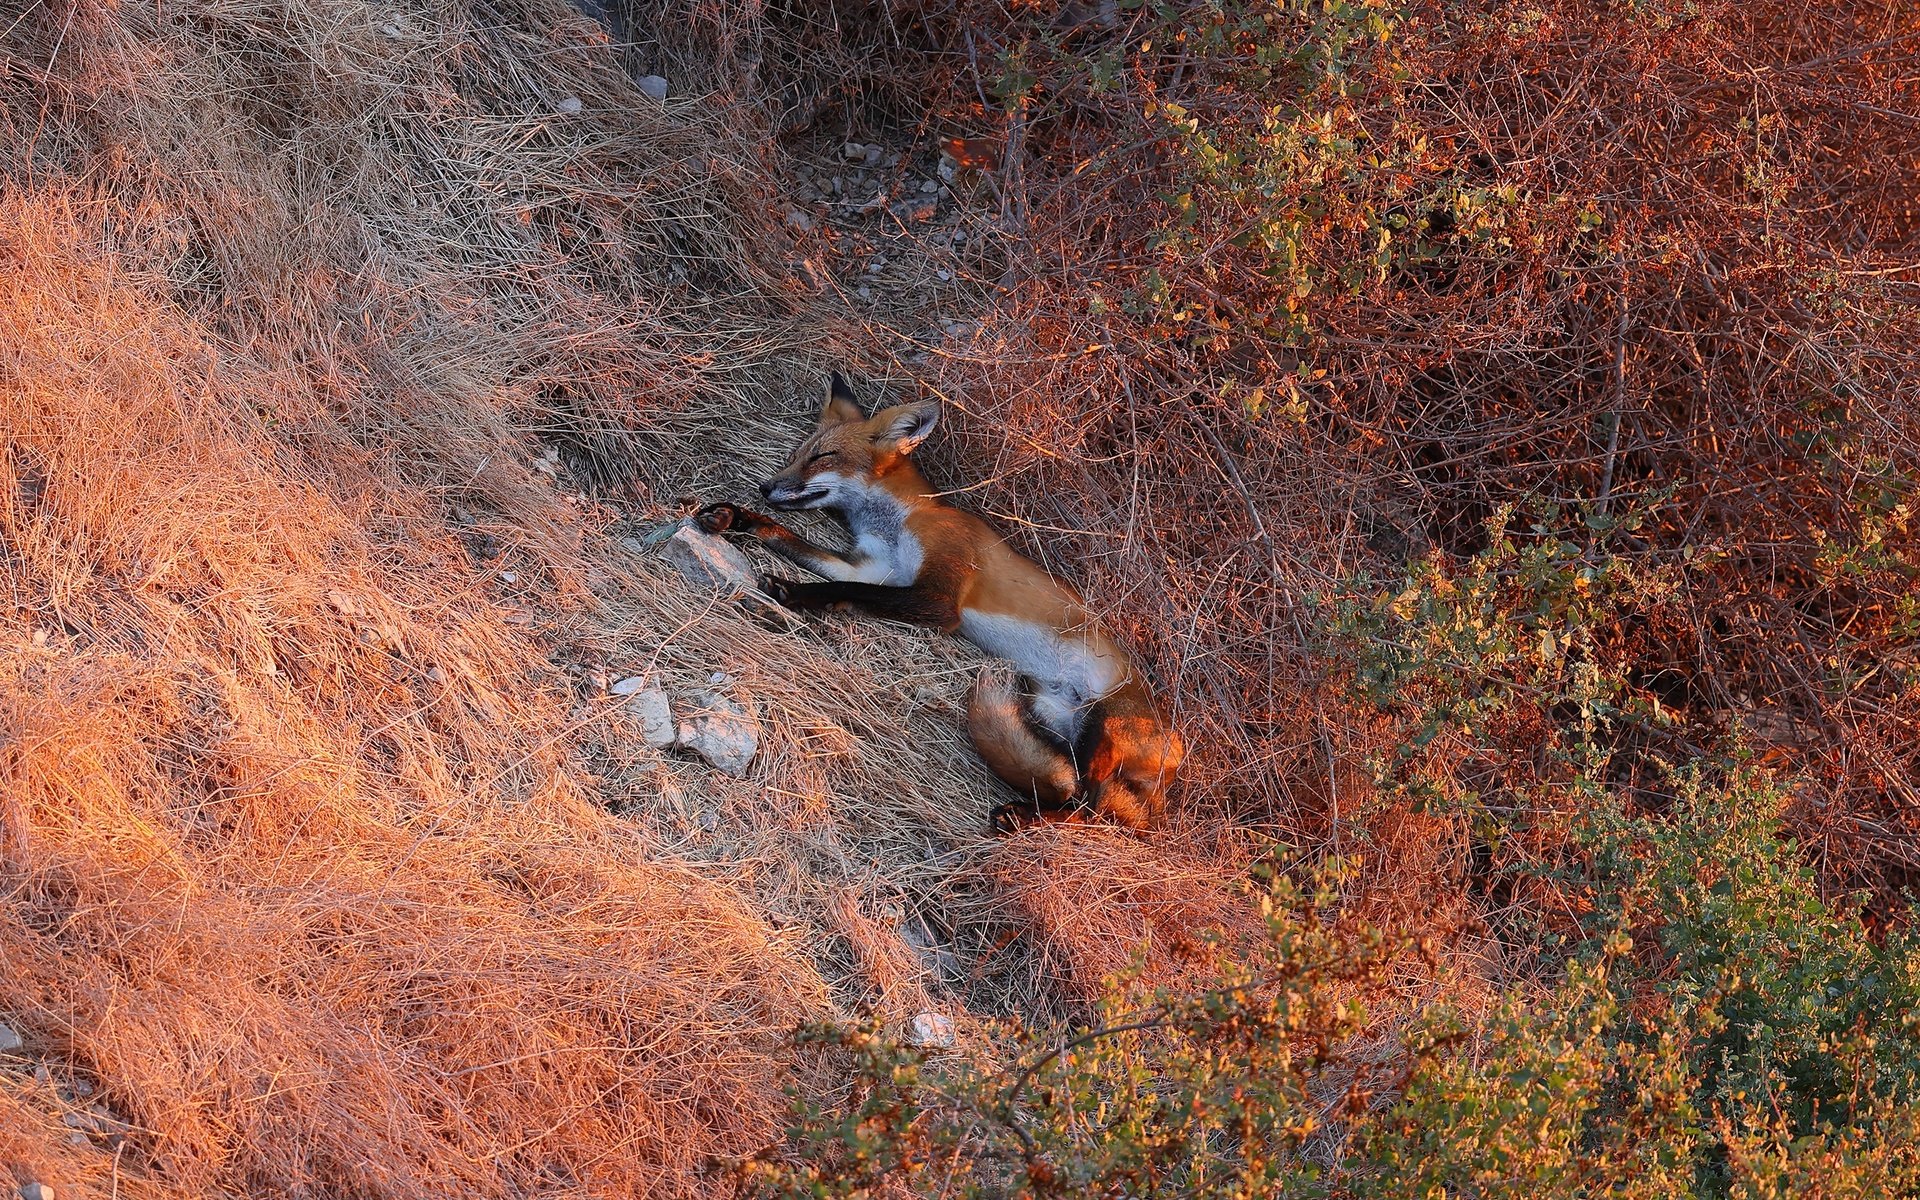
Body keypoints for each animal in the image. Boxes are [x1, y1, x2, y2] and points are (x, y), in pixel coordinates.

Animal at [698, 370, 1175, 829]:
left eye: (822, 457)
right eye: (799, 454)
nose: (766, 487)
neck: (903, 519)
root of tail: (1176, 753)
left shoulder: (939, 595)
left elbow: (848, 591)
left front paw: (796, 592)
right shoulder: (875, 567)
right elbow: (804, 551)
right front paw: (739, 518)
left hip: (1100, 731)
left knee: (1091, 808)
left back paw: (1026, 818)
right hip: (1050, 716)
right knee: (1074, 789)